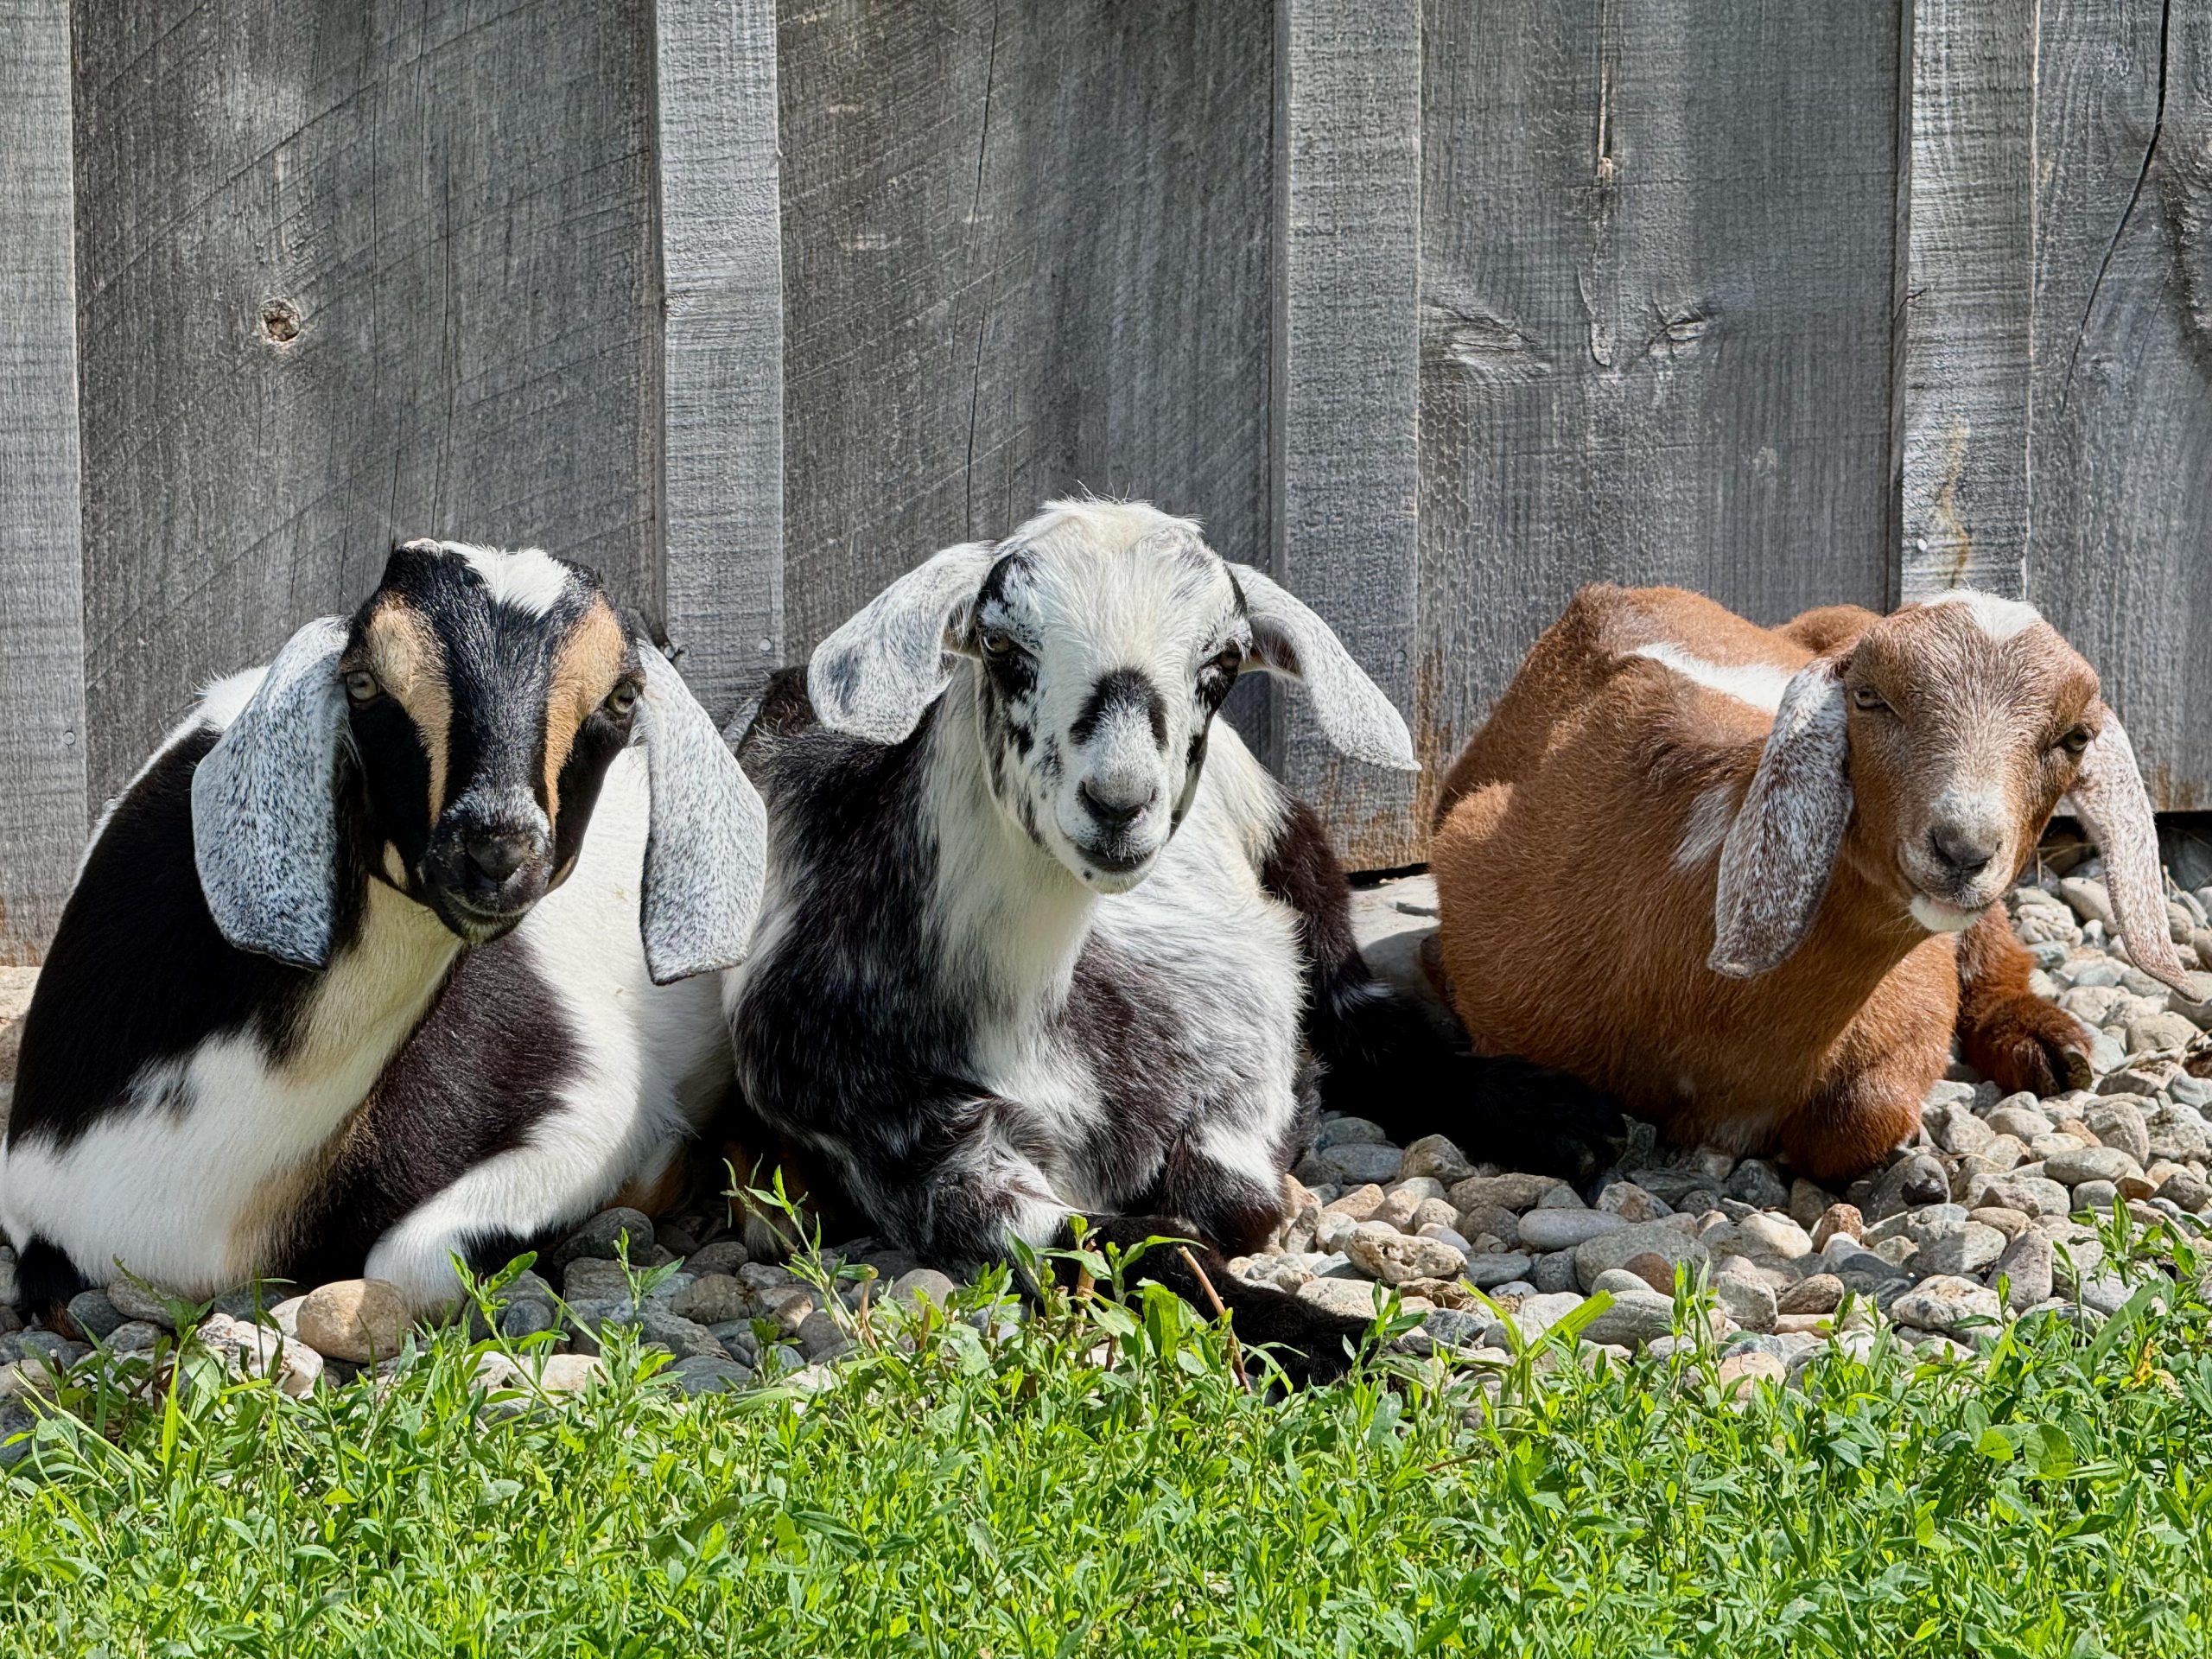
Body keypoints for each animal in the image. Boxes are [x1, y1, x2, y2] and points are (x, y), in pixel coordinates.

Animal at [725, 500, 1615, 1382]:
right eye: (1002, 646)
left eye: (1222, 660)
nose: (1119, 801)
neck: (1031, 1011)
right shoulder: (916, 1152)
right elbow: (1141, 1245)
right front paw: (1334, 1344)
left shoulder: (1241, 1053)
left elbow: (1234, 1199)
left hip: (1294, 855)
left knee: (1374, 1028)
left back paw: (1564, 1118)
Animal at [1428, 584, 2206, 1182]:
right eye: (1869, 698)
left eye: (2075, 737)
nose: (1963, 848)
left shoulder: (1917, 998)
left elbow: (1862, 1114)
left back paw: (2044, 1042)